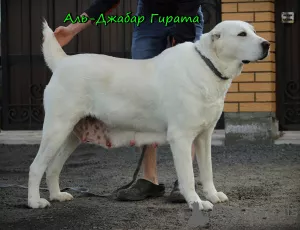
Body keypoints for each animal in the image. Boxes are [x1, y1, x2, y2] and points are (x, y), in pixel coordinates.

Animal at [27, 19, 270, 210]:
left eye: (253, 30)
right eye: (241, 34)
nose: (267, 44)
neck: (207, 65)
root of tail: (63, 62)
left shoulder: (204, 137)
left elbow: (207, 171)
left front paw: (212, 195)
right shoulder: (181, 137)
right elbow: (189, 177)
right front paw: (196, 202)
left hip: (71, 135)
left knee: (53, 167)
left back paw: (57, 195)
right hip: (57, 129)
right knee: (36, 167)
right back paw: (35, 201)